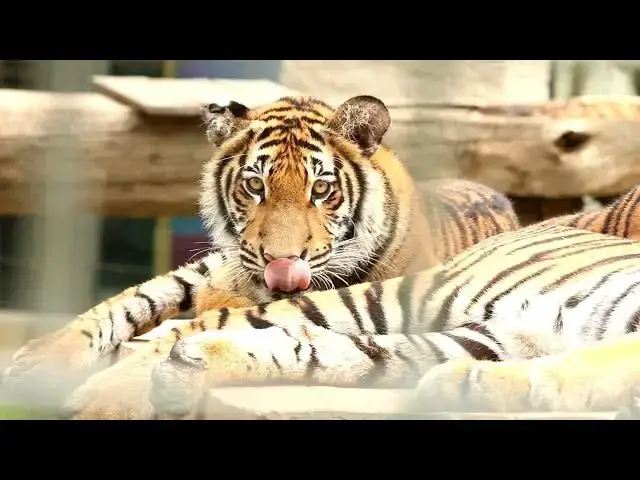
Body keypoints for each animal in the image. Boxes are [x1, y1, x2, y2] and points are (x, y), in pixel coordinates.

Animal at [3, 95, 520, 417]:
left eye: (321, 189)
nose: (280, 262)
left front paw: (105, 403)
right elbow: (134, 302)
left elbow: (189, 336)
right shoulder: (221, 269)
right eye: (255, 185)